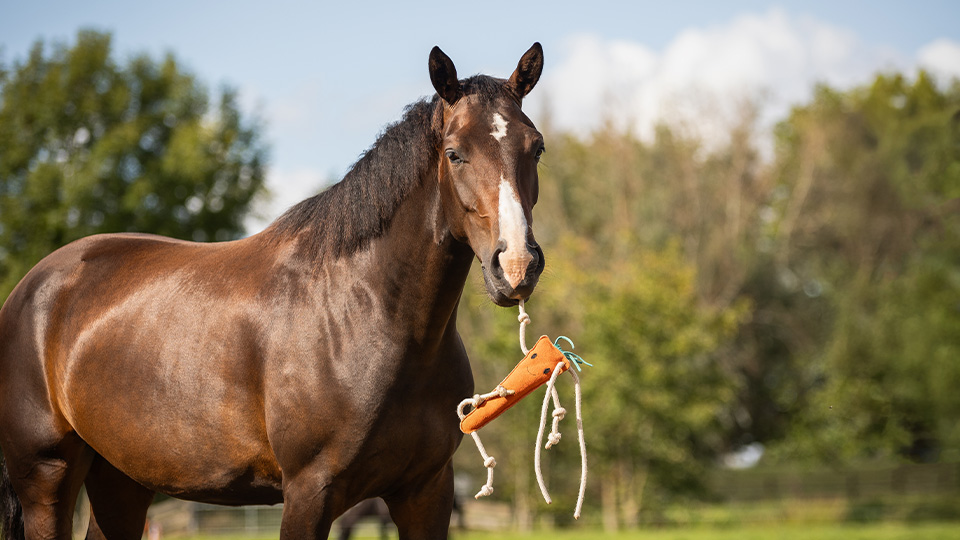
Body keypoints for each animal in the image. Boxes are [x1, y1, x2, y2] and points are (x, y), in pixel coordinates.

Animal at [0, 43, 546, 540]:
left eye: (535, 147)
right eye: (455, 154)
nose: (517, 265)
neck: (368, 316)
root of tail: (31, 288)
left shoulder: (426, 492)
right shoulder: (310, 492)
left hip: (123, 480)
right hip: (48, 480)